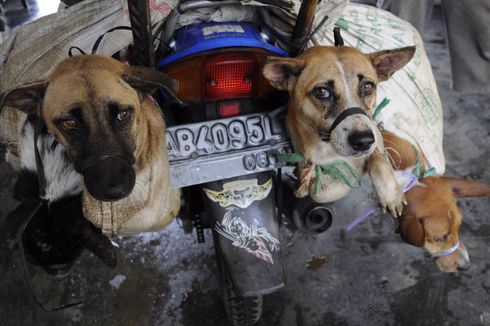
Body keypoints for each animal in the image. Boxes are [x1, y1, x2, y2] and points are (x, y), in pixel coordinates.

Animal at [262, 44, 416, 216]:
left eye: (368, 86)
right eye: (321, 92)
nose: (364, 141)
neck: (327, 148)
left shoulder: (374, 132)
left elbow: (380, 161)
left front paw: (391, 196)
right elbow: (321, 192)